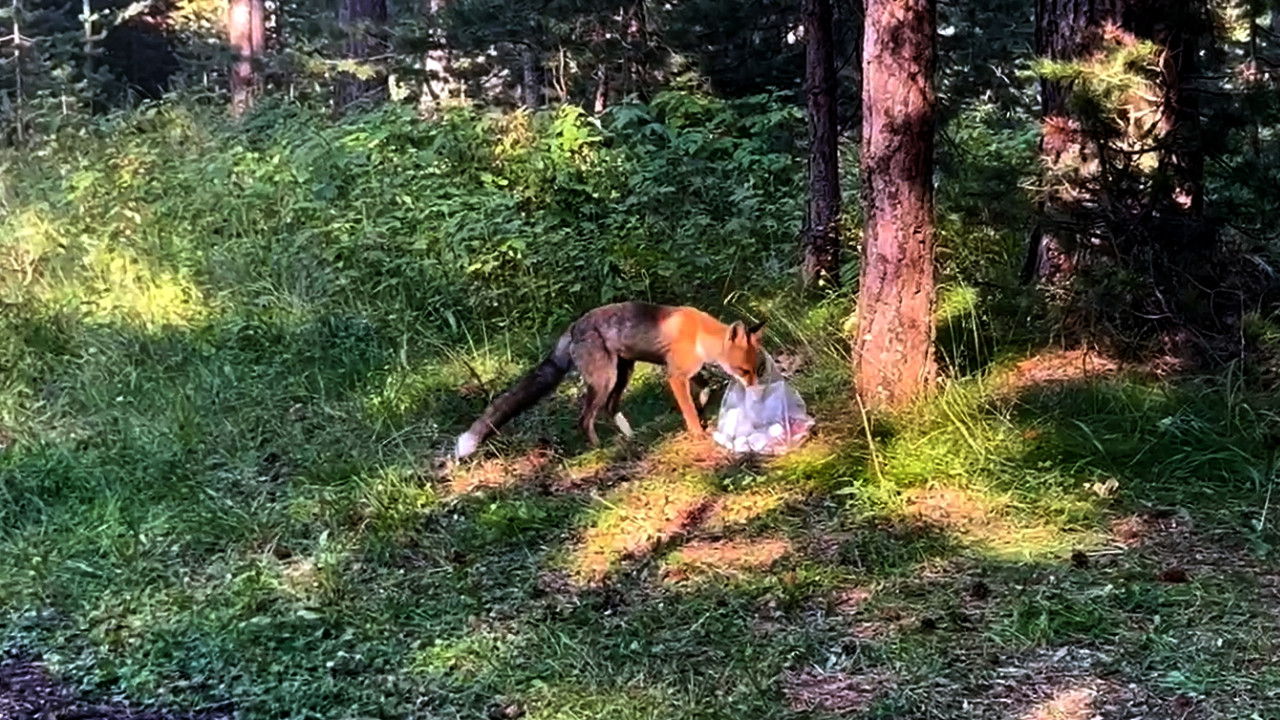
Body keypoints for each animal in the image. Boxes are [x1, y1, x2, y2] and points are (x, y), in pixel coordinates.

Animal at [455, 299, 762, 456]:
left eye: (756, 369)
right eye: (744, 371)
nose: (756, 392)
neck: (699, 334)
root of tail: (574, 326)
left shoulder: (686, 371)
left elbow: (706, 387)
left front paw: (701, 406)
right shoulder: (674, 375)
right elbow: (688, 407)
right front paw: (698, 430)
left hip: (622, 374)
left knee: (609, 409)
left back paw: (630, 438)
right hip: (605, 379)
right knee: (586, 418)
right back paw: (599, 449)